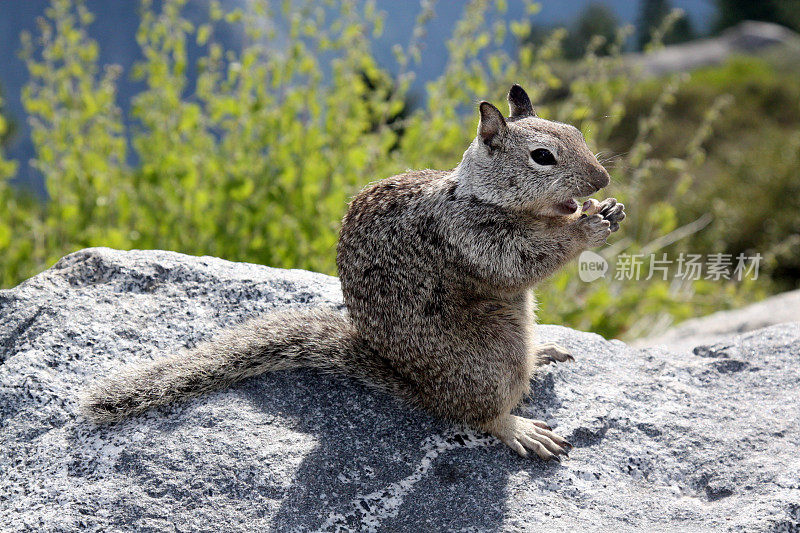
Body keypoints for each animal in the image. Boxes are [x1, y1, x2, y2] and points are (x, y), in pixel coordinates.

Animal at [79, 85, 624, 460]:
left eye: (578, 134)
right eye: (542, 157)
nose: (602, 179)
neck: (476, 195)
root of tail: (414, 385)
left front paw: (610, 210)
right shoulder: (471, 236)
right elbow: (523, 260)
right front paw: (588, 226)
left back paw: (544, 351)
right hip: (493, 363)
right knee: (478, 413)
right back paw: (519, 427)